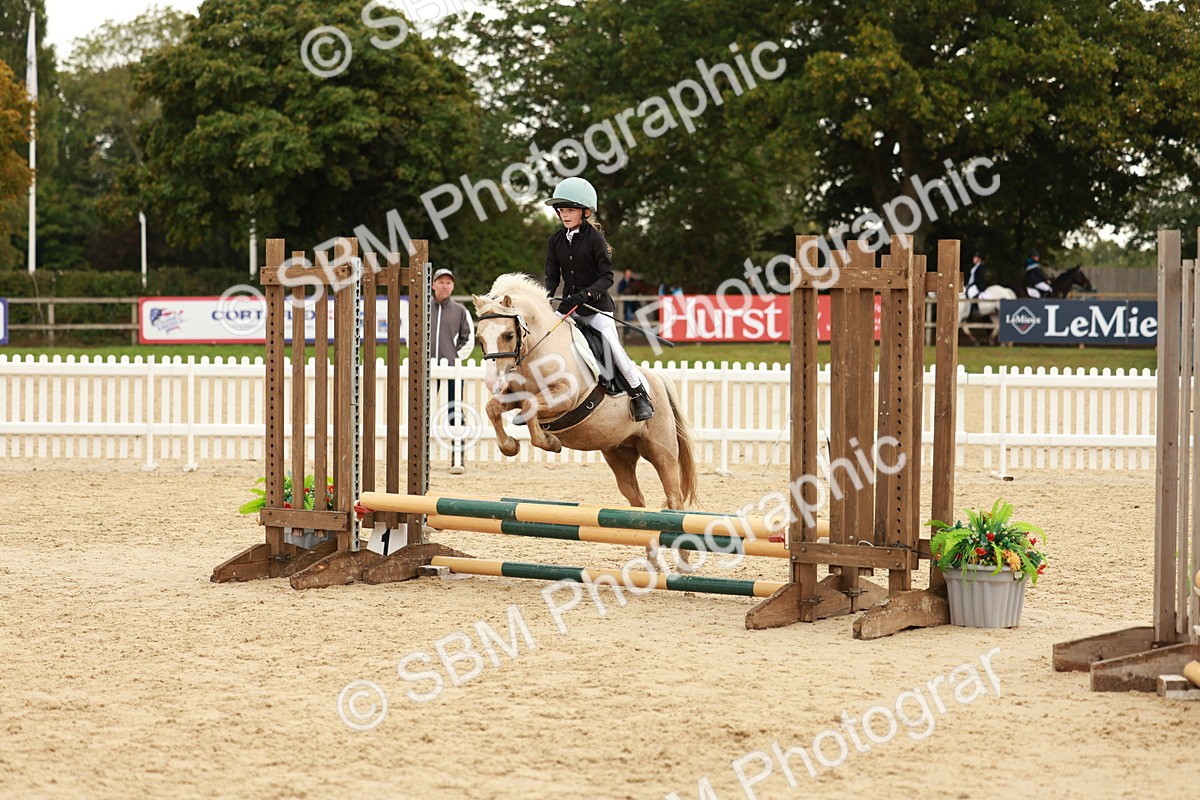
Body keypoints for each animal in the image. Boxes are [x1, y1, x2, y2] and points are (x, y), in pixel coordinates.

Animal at [473, 274, 699, 523]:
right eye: (480, 338)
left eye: (508, 335)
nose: (492, 382)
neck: (538, 349)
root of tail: (658, 379)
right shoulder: (514, 395)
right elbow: (493, 408)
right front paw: (510, 447)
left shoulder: (565, 397)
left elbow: (530, 406)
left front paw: (551, 443)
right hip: (619, 453)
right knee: (636, 500)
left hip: (662, 452)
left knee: (674, 498)